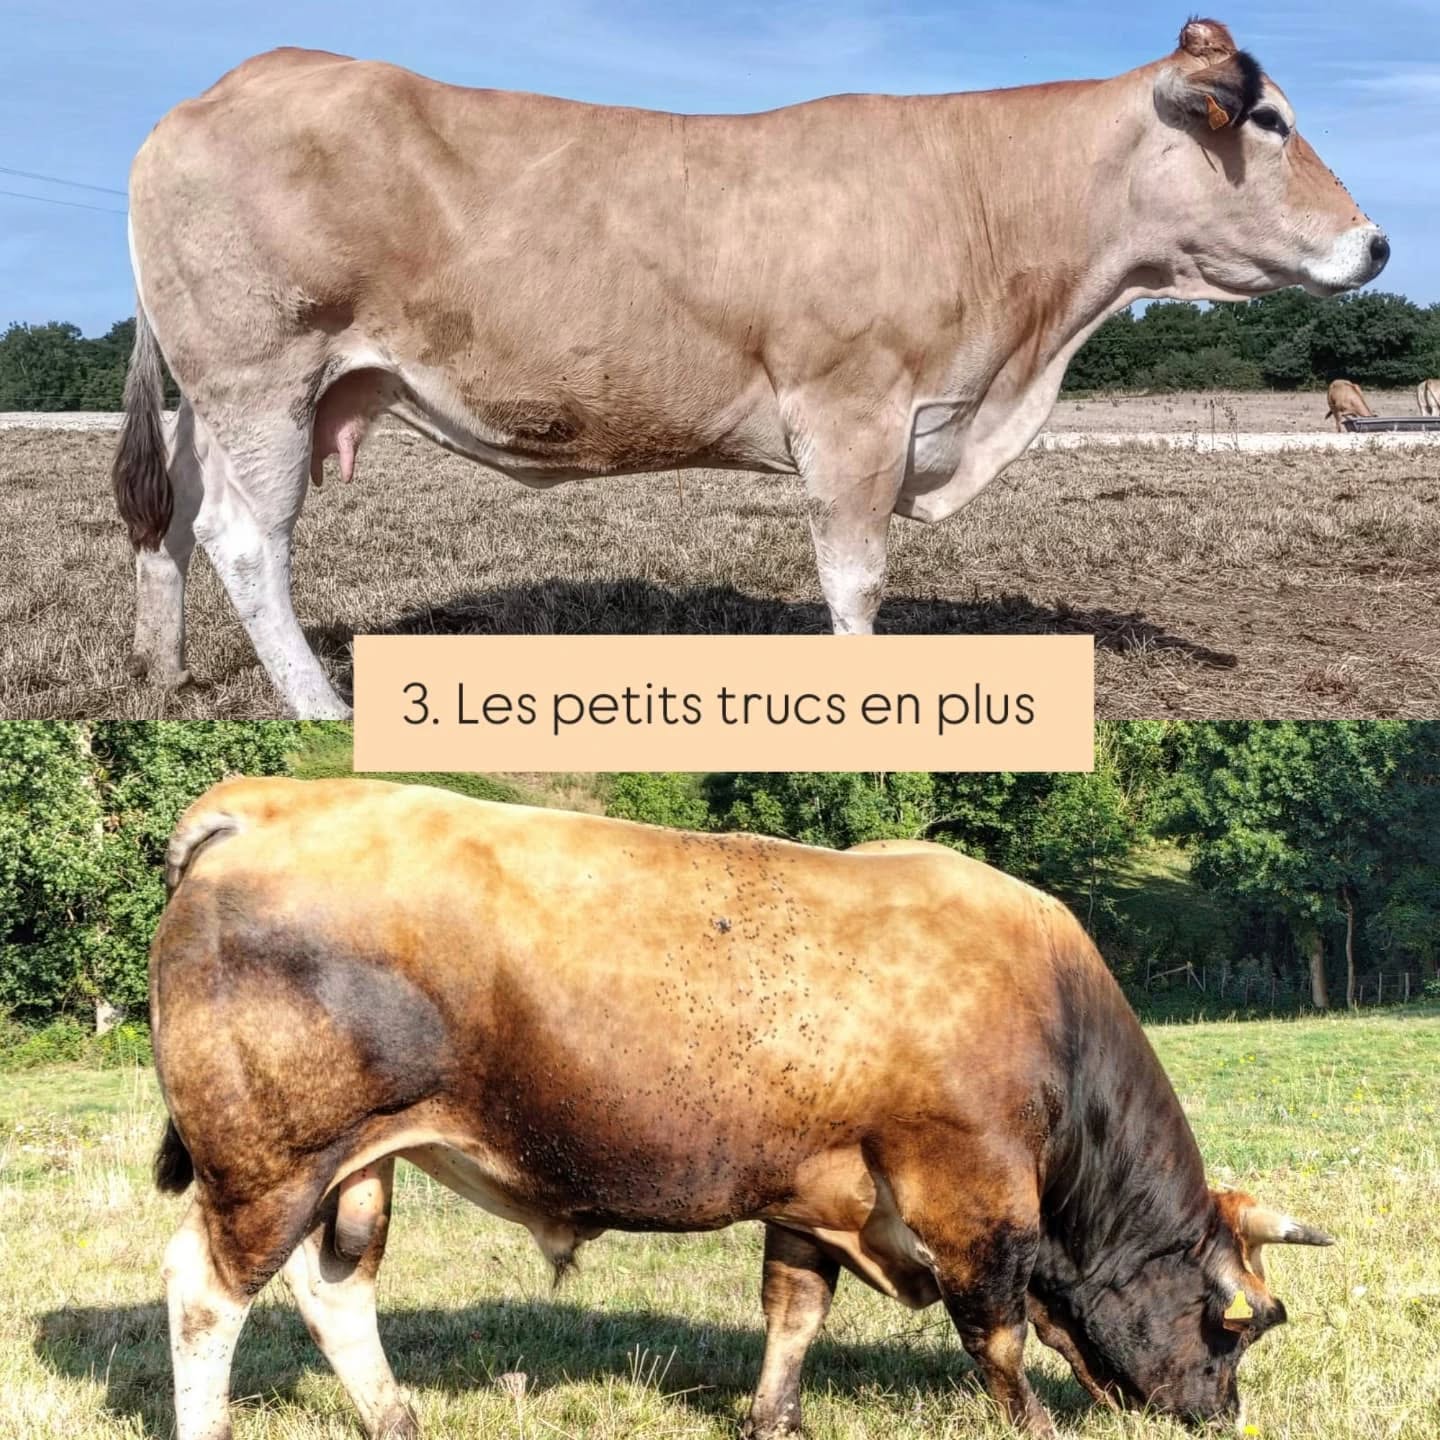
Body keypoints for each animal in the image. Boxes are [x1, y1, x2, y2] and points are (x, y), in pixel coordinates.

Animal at [112, 18, 1388, 719]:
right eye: (1266, 118)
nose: (1378, 242)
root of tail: (224, 86)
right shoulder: (854, 410)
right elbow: (854, 580)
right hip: (264, 373)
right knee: (244, 535)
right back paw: (317, 703)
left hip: (222, 390)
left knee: (172, 519)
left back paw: (162, 673)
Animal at [150, 778, 1333, 1439]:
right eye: (1238, 1322)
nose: (1221, 1419)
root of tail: (266, 799)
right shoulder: (972, 1191)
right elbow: (994, 1332)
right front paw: (1037, 1426)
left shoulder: (818, 1191)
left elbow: (793, 1313)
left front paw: (774, 1419)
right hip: (269, 1162)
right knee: (206, 1292)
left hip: (352, 1165)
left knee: (333, 1290)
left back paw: (398, 1421)